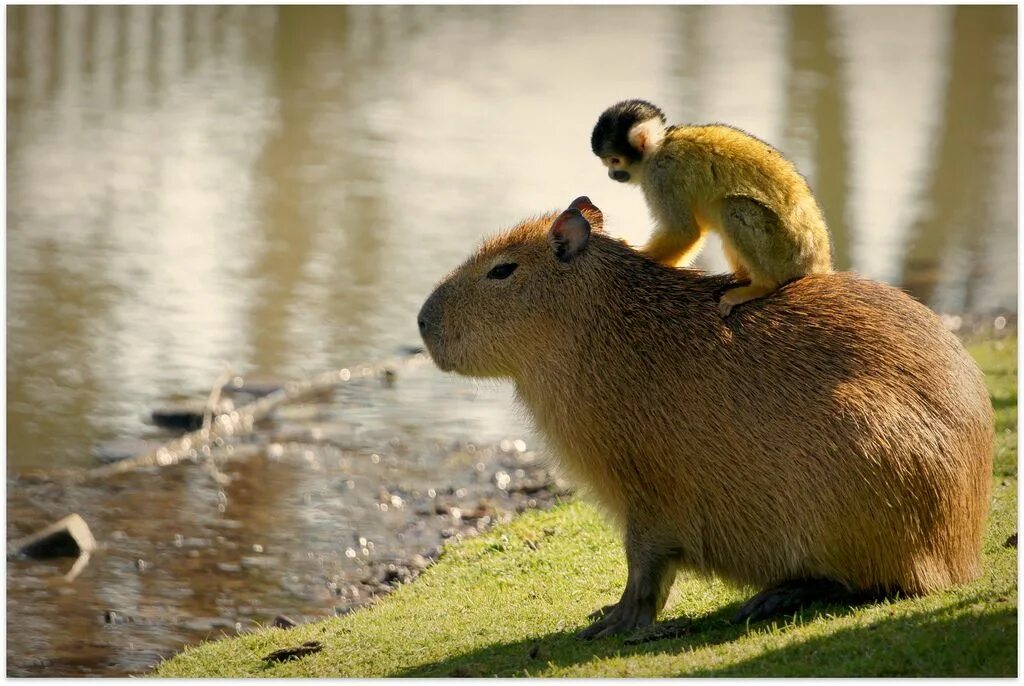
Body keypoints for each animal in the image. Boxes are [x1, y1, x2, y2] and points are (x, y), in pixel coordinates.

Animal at [593, 98, 831, 317]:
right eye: (607, 163)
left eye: (614, 161)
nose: (611, 174)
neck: (659, 148)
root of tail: (818, 265)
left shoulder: (662, 176)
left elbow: (684, 232)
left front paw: (636, 251)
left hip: (784, 255)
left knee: (733, 208)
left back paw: (761, 286)